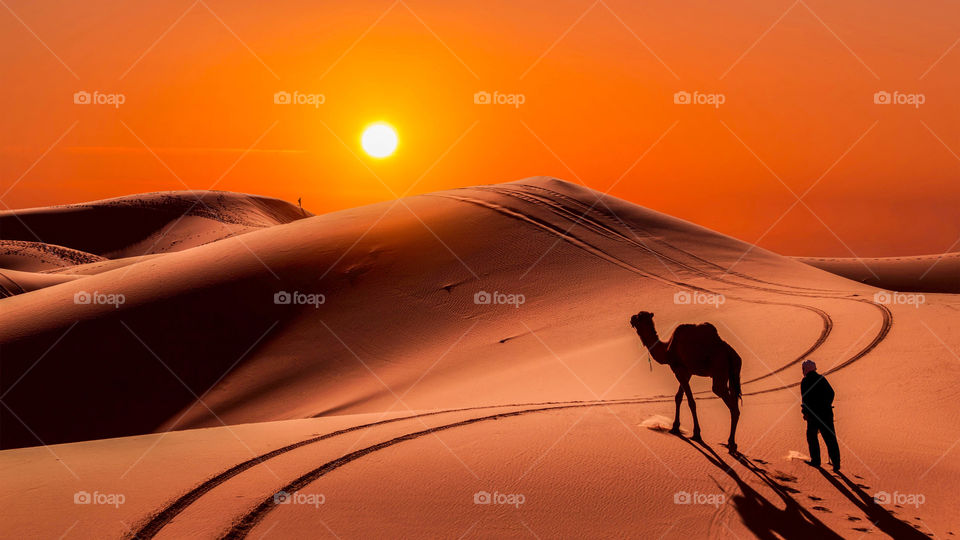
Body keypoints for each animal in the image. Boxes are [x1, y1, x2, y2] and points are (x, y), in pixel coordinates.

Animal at [630, 311, 742, 452]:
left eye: (638, 317)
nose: (631, 318)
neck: (667, 349)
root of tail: (730, 353)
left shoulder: (679, 370)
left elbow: (690, 401)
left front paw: (696, 434)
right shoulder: (687, 372)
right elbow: (678, 397)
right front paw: (675, 427)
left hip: (719, 372)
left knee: (731, 405)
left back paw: (731, 443)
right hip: (734, 373)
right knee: (735, 398)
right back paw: (732, 443)